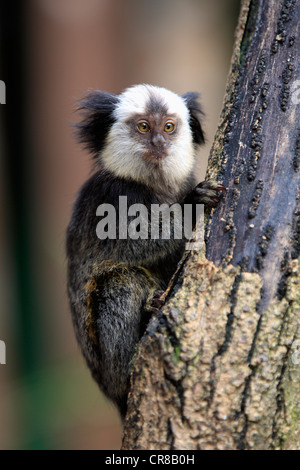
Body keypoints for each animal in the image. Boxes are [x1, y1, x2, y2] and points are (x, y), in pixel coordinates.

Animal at [67, 84, 224, 418]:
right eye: (143, 127)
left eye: (168, 127)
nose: (159, 143)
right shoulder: (111, 195)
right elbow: (131, 243)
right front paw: (191, 206)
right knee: (122, 281)